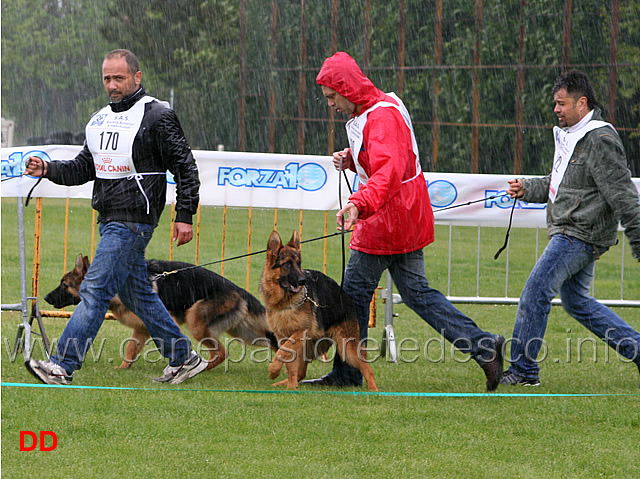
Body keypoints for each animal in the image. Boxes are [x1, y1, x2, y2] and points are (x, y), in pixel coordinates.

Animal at [44, 255, 276, 372]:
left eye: (64, 285)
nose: (45, 297)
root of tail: (239, 290)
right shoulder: (141, 328)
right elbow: (130, 349)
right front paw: (123, 368)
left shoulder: (164, 320)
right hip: (245, 333)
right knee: (271, 341)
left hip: (196, 321)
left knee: (221, 352)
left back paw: (203, 368)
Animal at [262, 231, 380, 392]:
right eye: (287, 264)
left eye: (299, 263)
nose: (303, 281)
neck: (285, 303)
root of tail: (345, 295)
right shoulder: (283, 337)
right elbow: (288, 360)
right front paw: (291, 387)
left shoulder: (300, 332)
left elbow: (283, 352)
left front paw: (274, 370)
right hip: (308, 346)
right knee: (300, 372)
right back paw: (288, 383)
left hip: (347, 348)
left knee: (367, 368)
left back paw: (374, 390)